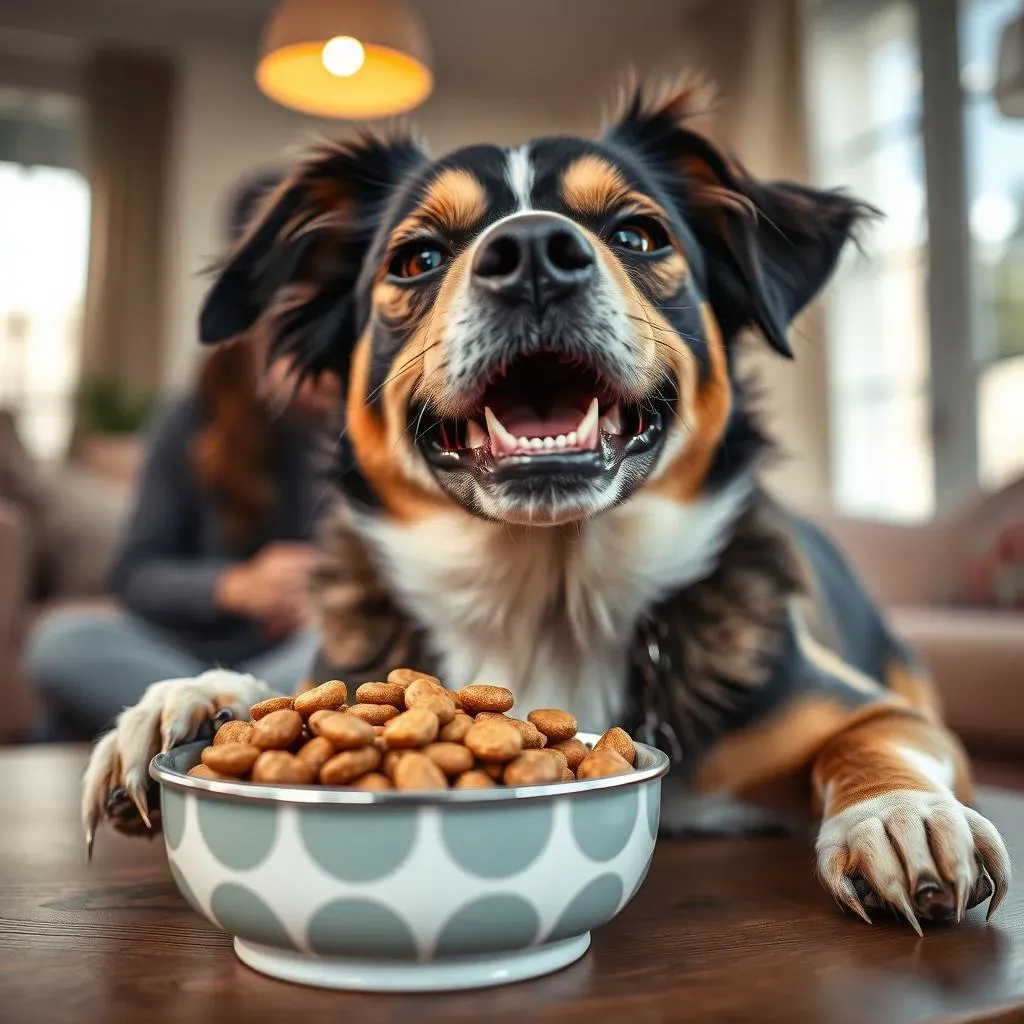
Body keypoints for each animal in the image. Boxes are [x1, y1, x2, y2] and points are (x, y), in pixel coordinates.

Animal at [81, 77, 1007, 929]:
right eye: (416, 258)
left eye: (638, 234)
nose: (531, 251)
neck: (548, 591)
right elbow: (285, 688)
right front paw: (186, 702)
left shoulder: (862, 706)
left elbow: (880, 739)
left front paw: (901, 814)